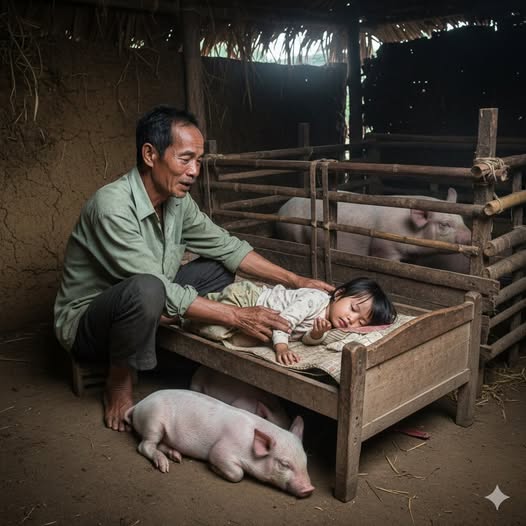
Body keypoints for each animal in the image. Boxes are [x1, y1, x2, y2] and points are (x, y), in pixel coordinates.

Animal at [124, 389, 314, 498]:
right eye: (284, 464)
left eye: (305, 462)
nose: (310, 489)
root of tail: (139, 405)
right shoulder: (221, 450)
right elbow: (237, 473)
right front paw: (214, 468)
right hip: (153, 422)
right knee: (145, 445)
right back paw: (164, 466)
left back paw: (176, 457)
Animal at [276, 187, 471, 266]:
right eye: (445, 224)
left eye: (462, 219)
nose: (469, 237)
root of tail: (281, 209)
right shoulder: (383, 249)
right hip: (291, 233)